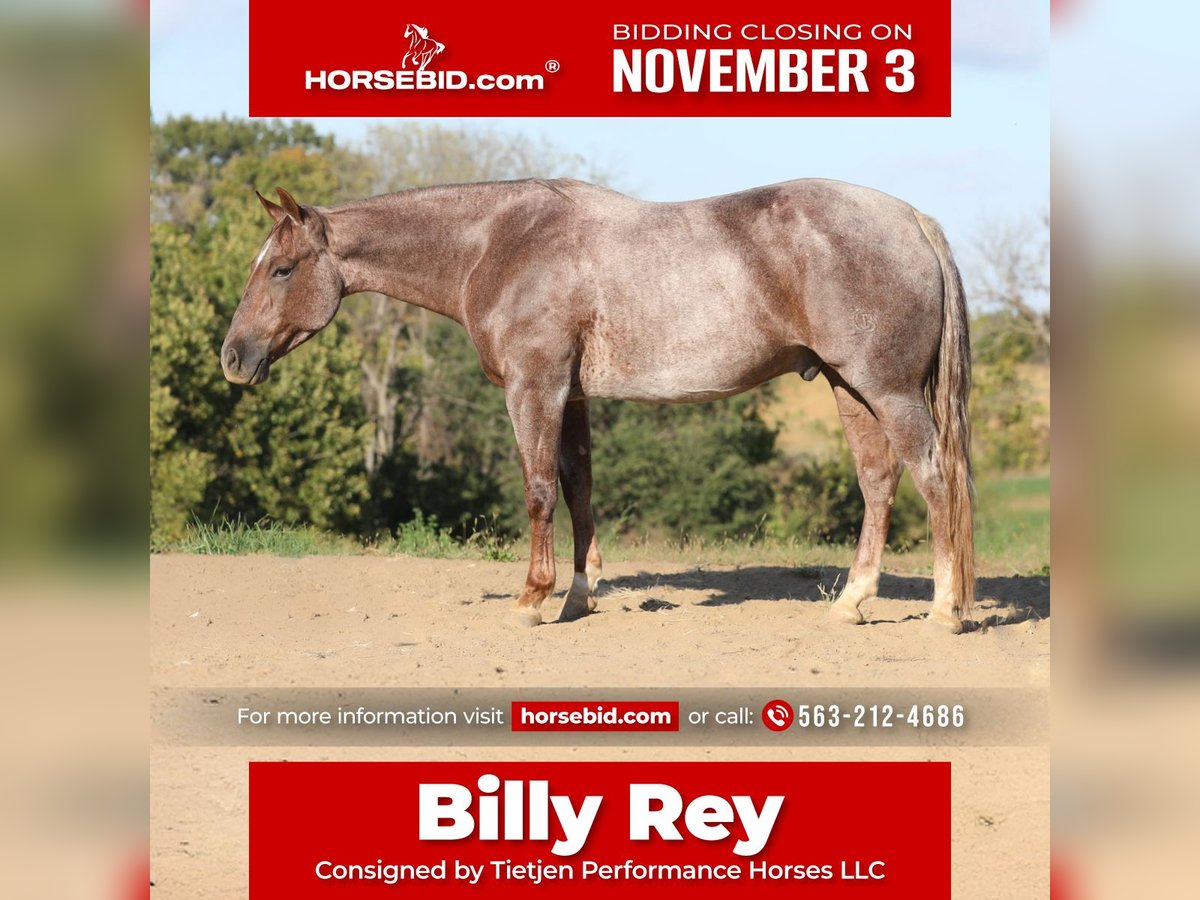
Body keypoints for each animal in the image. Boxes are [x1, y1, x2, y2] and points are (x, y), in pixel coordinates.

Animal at [221, 179, 974, 633]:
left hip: (887, 390)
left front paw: (531, 598)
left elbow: (537, 491)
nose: (233, 357)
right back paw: (851, 604)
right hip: (851, 388)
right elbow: (578, 489)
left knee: (934, 480)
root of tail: (911, 219)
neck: (499, 244)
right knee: (878, 483)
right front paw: (579, 594)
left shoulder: (534, 388)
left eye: (281, 269)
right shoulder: (572, 397)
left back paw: (945, 610)